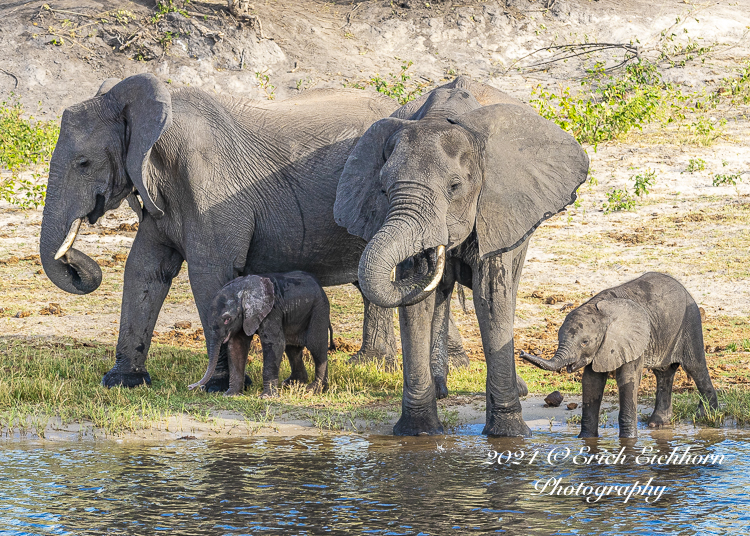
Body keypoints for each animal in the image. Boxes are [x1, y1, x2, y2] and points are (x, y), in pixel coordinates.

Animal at [191, 272, 334, 398]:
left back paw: (315, 389)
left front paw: (266, 397)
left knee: (316, 346)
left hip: (319, 310)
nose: (191, 387)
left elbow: (274, 344)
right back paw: (292, 384)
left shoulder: (272, 311)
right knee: (292, 349)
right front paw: (230, 395)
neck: (244, 289)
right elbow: (237, 346)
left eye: (227, 319)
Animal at [336, 76, 592, 436]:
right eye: (383, 190)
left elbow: (491, 298)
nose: (434, 251)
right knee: (439, 294)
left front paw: (508, 435)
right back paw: (440, 389)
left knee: (506, 290)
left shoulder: (496, 205)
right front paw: (419, 433)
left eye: (455, 187)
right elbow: (415, 304)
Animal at [524, 274, 724, 438]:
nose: (521, 352)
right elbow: (591, 382)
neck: (600, 311)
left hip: (690, 321)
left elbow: (628, 379)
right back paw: (657, 424)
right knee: (663, 373)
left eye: (585, 342)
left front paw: (628, 440)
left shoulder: (630, 340)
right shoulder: (602, 348)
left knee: (695, 366)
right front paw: (585, 439)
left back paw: (706, 416)